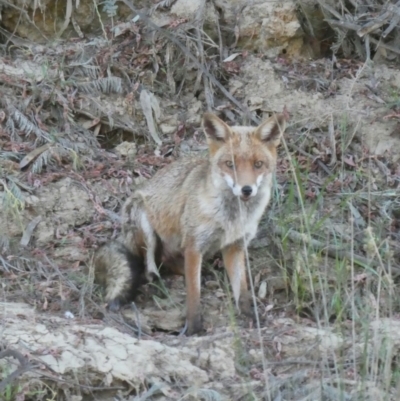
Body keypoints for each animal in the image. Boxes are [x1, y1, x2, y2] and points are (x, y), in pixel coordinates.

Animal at [95, 112, 286, 334]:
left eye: (258, 164)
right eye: (230, 164)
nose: (246, 189)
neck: (231, 218)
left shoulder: (235, 246)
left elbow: (243, 290)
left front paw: (251, 317)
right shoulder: (194, 244)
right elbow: (194, 295)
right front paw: (194, 329)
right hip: (144, 221)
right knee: (151, 264)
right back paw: (156, 282)